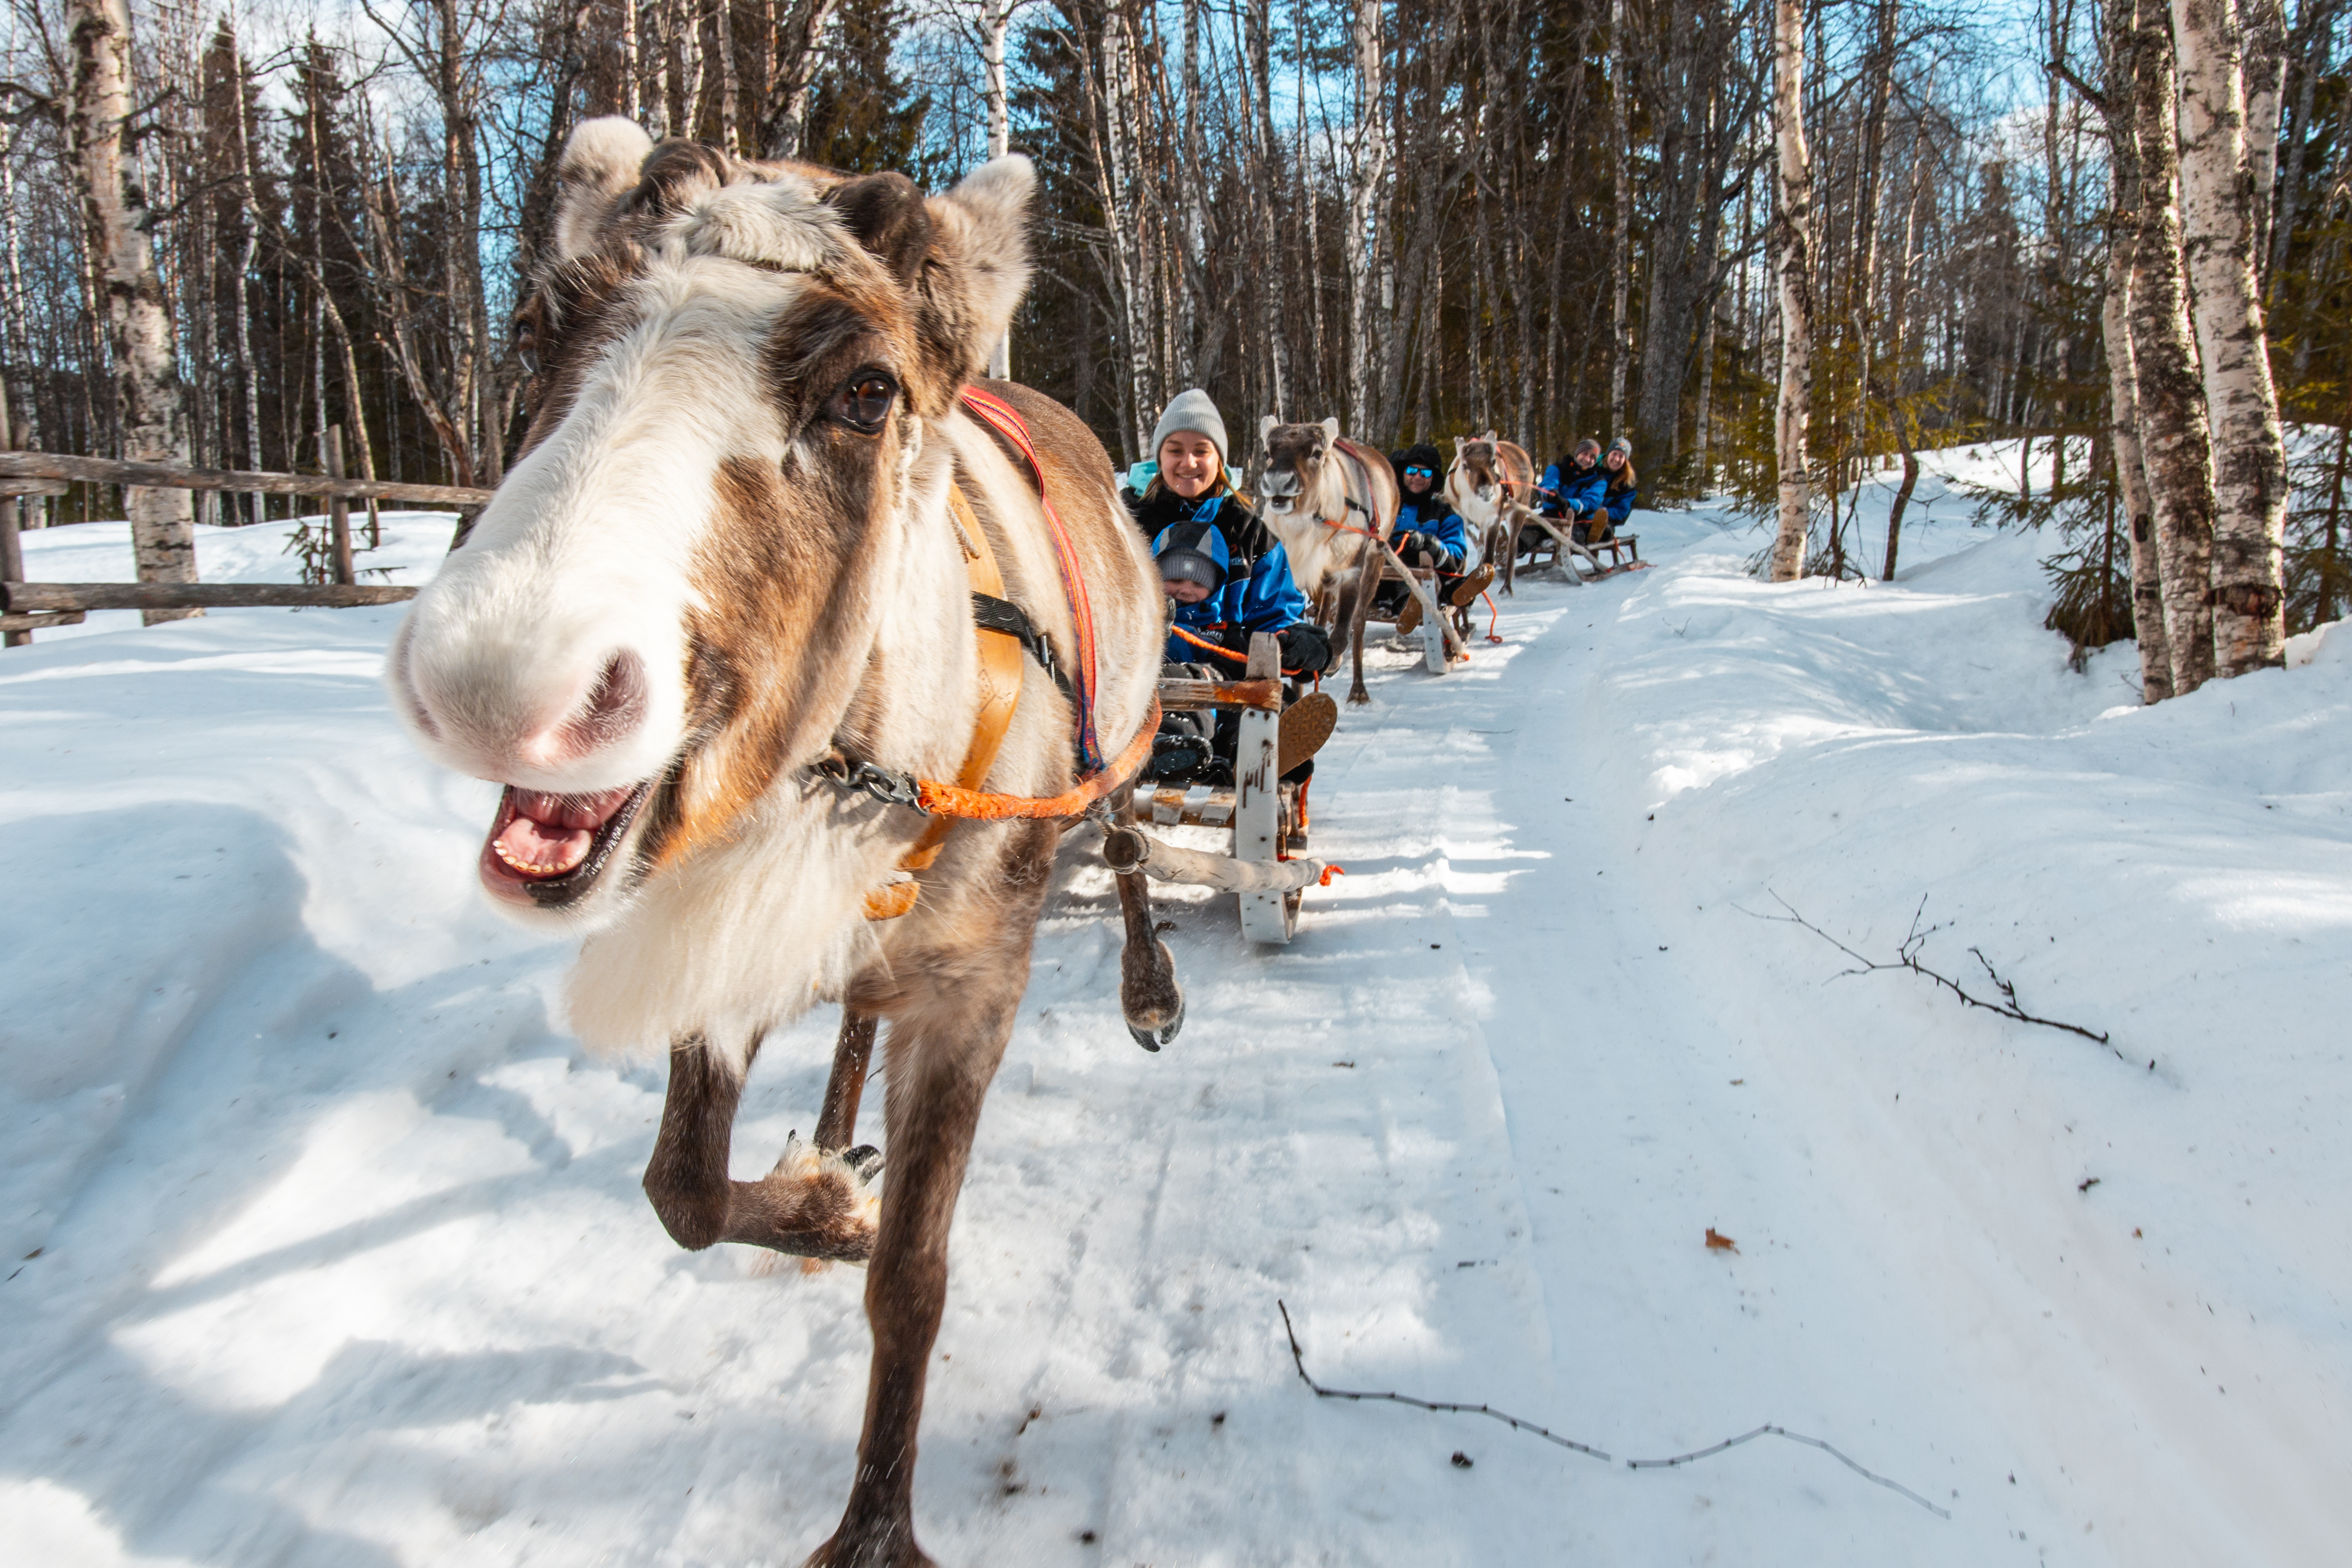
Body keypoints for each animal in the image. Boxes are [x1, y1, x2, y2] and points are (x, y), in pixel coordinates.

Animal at [386, 117, 1180, 1567]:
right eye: (533, 327)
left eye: (867, 391)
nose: (499, 681)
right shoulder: (732, 922)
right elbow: (681, 1189)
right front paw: (819, 1199)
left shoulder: (975, 988)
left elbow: (912, 1275)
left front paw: (872, 1524)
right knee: (854, 999)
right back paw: (833, 1130)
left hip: (1125, 743)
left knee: (1131, 843)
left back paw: (1149, 989)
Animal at [1253, 416, 1402, 705]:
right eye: (1267, 452)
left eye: (1317, 453)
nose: (1278, 481)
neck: (1306, 526)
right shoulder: (1296, 573)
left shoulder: (1351, 570)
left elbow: (1342, 633)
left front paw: (1333, 664)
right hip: (1325, 576)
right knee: (1323, 615)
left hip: (1376, 557)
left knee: (1359, 622)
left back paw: (1358, 689)